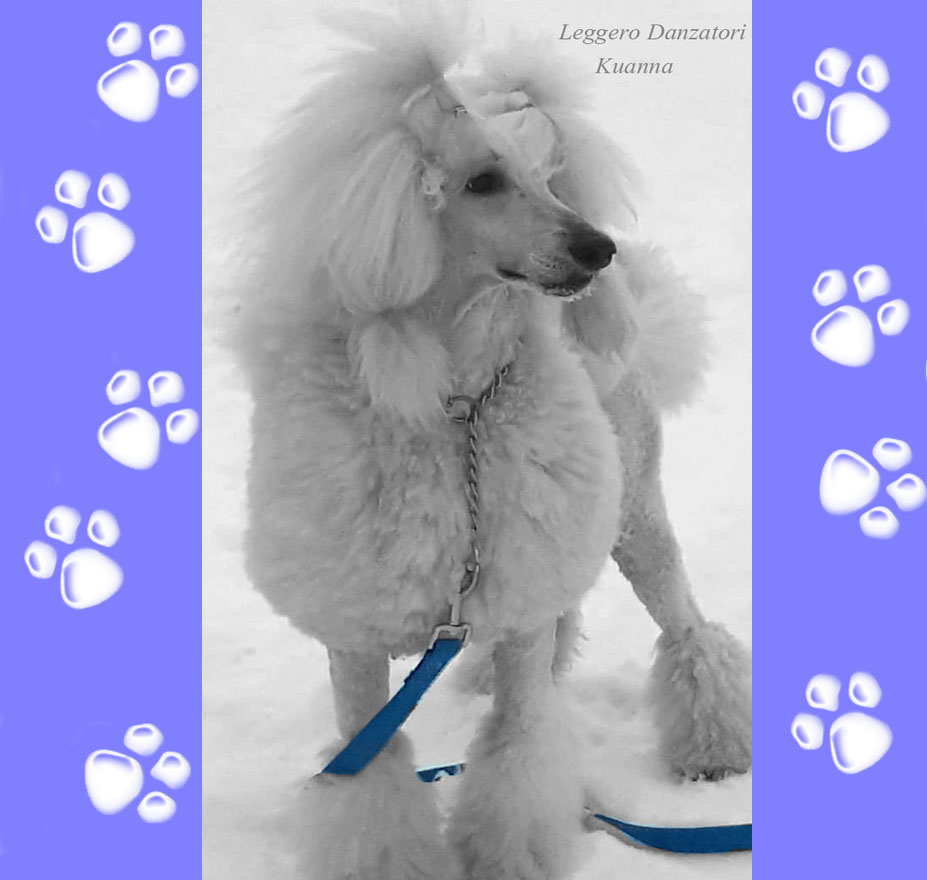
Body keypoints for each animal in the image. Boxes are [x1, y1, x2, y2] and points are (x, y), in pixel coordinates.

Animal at [231, 4, 751, 878]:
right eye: (480, 182)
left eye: (545, 178)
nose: (598, 249)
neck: (454, 407)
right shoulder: (355, 640)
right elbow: (373, 772)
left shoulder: (517, 602)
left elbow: (518, 750)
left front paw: (511, 856)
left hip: (633, 514)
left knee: (685, 627)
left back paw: (710, 750)